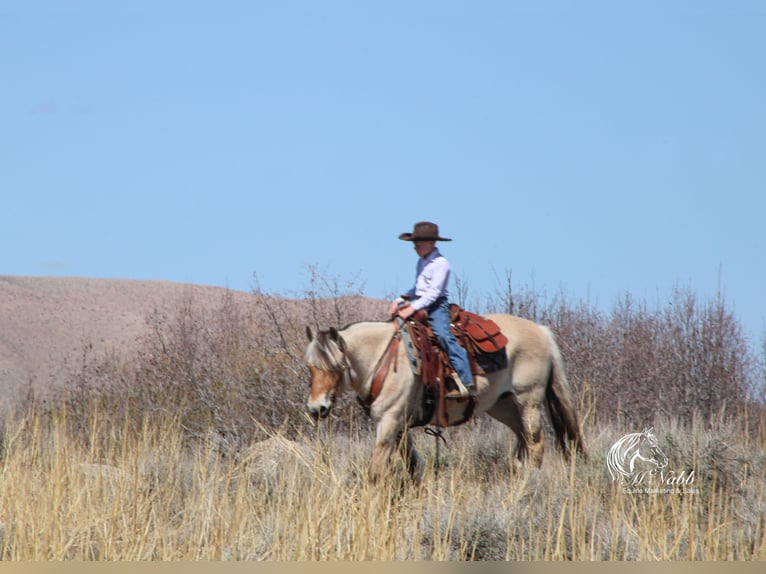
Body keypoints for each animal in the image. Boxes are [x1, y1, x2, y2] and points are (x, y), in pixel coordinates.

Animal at [306, 312, 588, 484]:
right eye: (310, 366)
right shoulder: (400, 426)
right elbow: (412, 464)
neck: (383, 357)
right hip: (504, 406)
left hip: (528, 401)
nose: (316, 408)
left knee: (537, 445)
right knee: (523, 443)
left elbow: (377, 469)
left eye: (336, 367)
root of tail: (541, 330)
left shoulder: (389, 420)